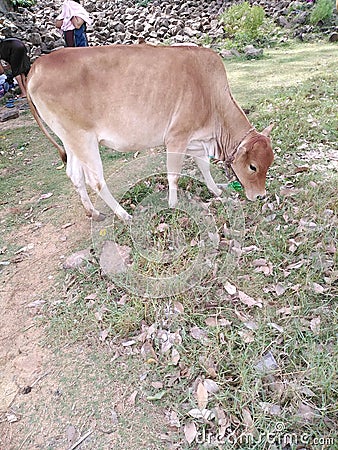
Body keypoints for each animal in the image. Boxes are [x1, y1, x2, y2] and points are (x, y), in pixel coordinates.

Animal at [27, 44, 274, 221]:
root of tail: (37, 66)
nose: (261, 196)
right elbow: (173, 174)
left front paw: (216, 191)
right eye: (253, 167)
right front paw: (173, 204)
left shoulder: (196, 140)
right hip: (82, 137)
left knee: (74, 174)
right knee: (95, 180)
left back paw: (93, 213)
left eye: (269, 164)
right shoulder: (177, 137)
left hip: (69, 139)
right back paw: (123, 214)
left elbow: (204, 167)